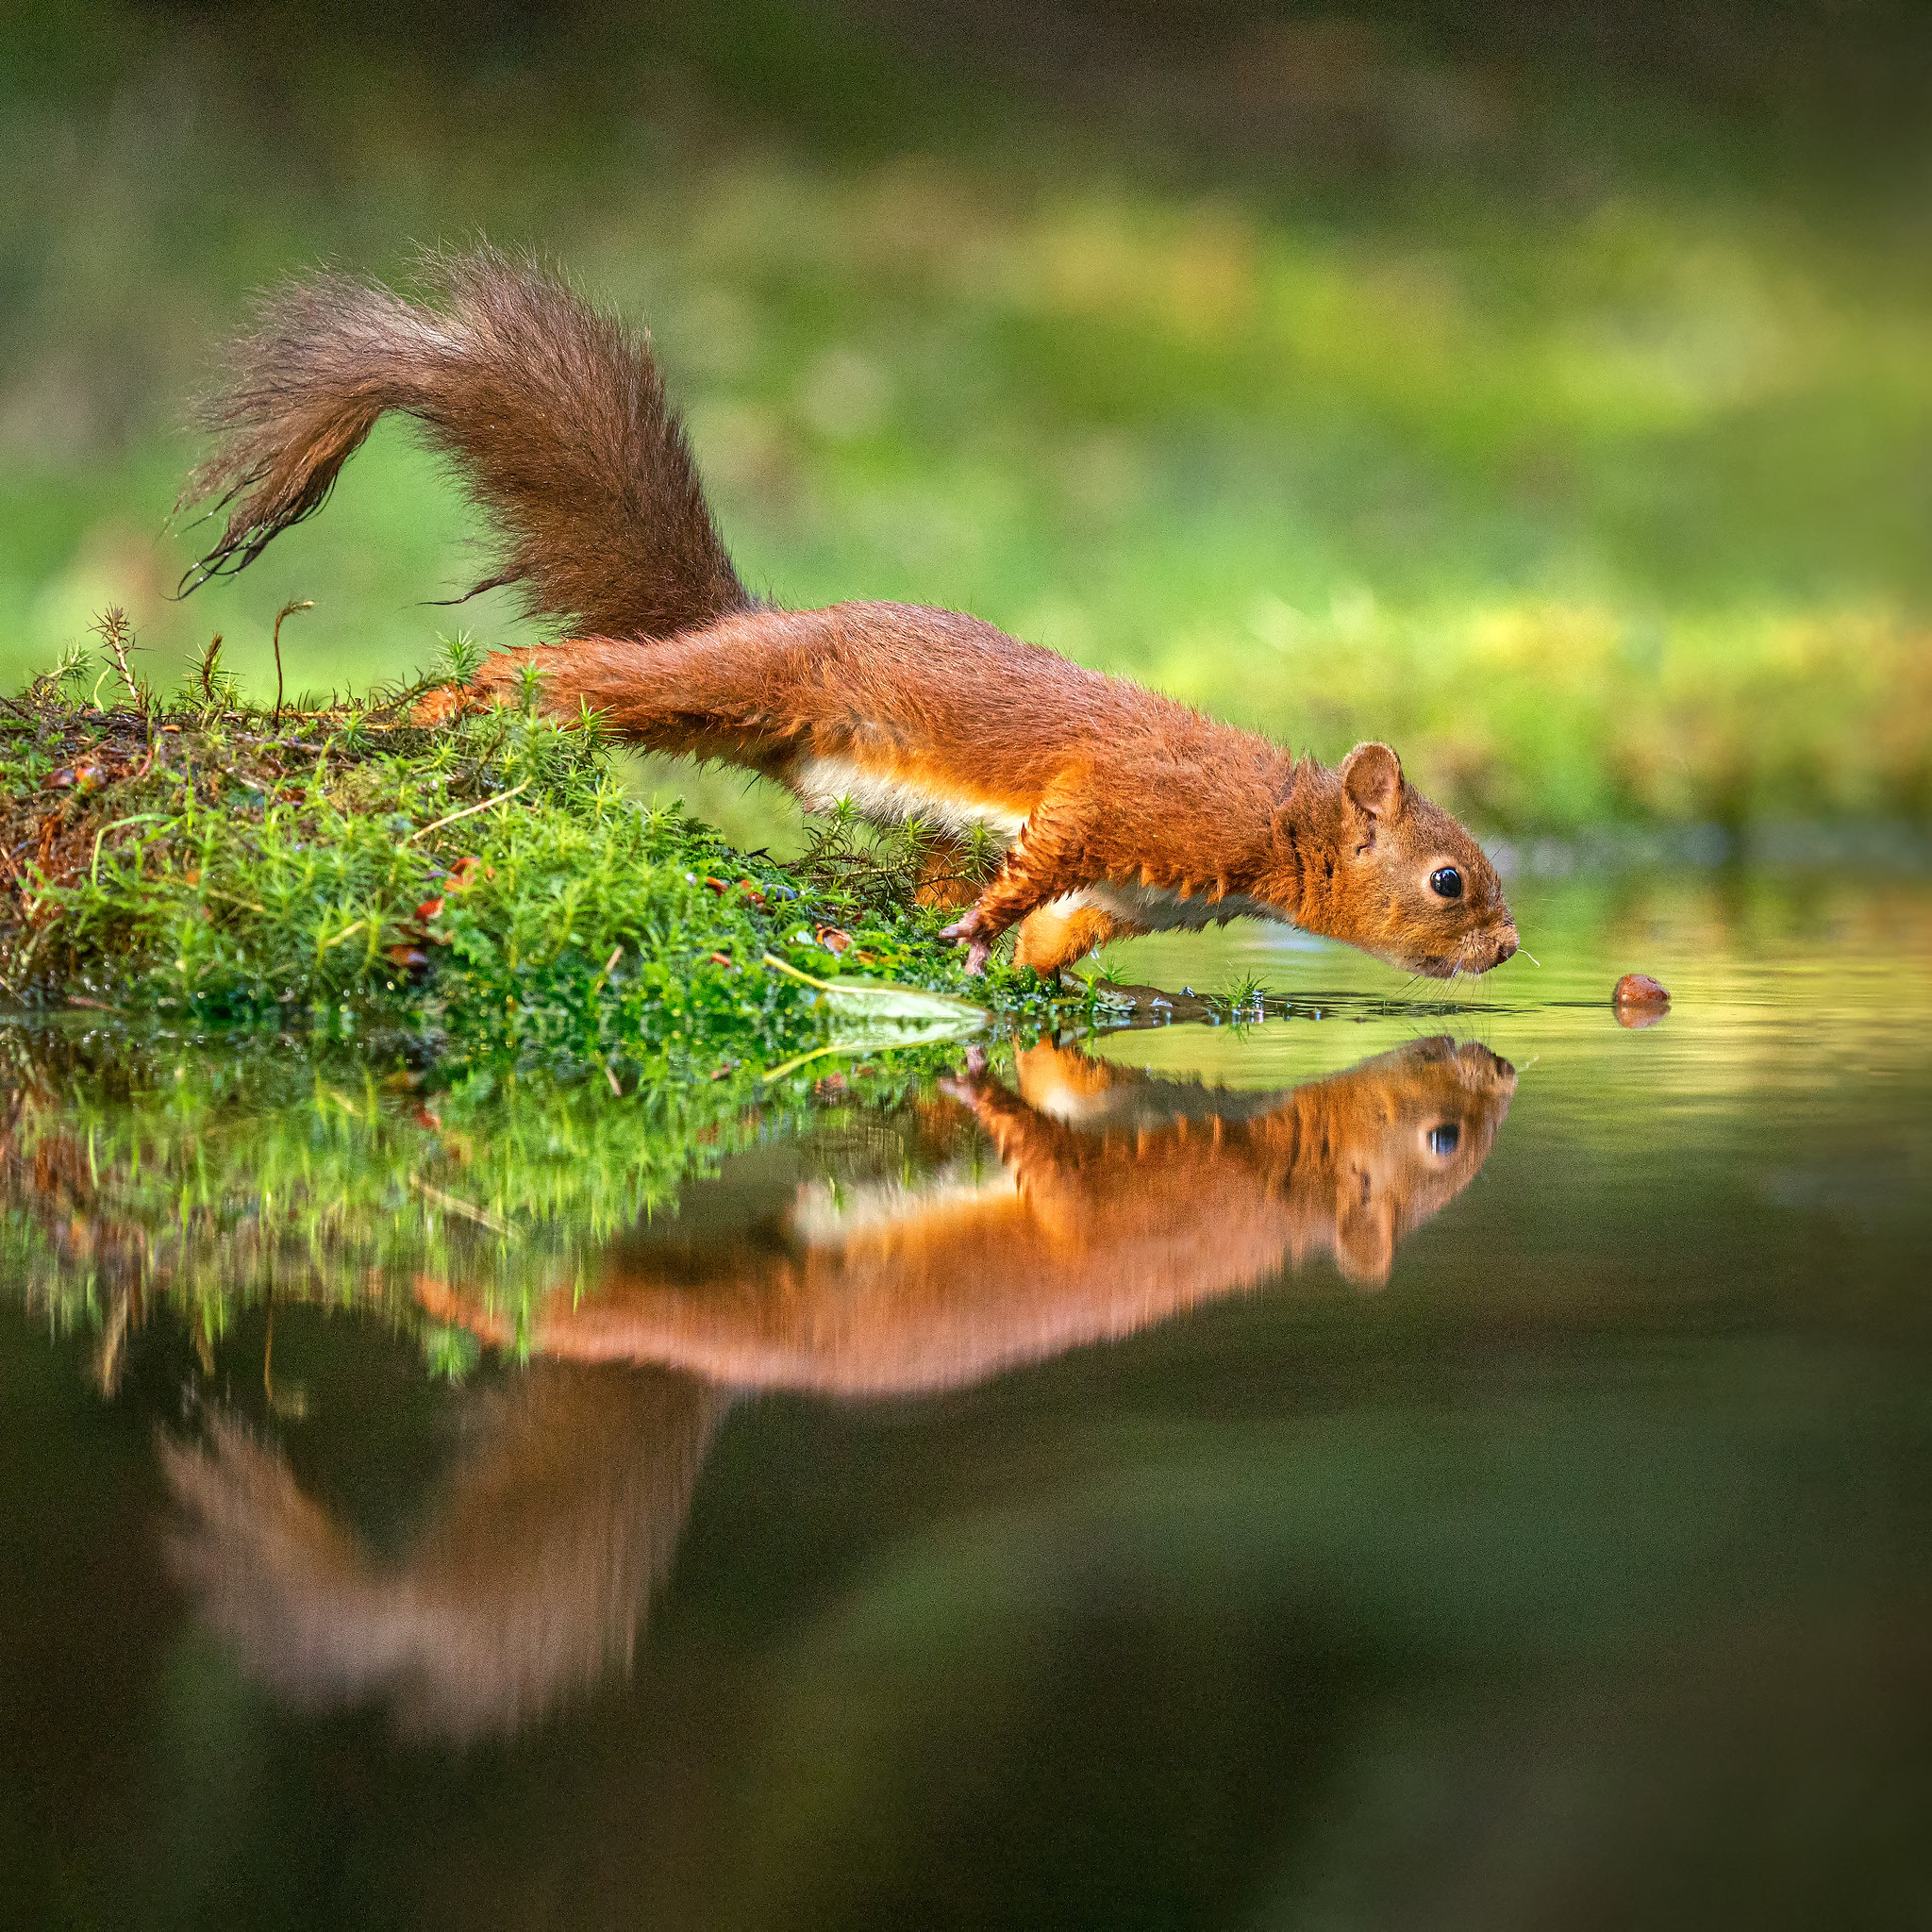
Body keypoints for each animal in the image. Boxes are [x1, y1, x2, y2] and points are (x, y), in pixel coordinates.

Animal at [181, 253, 1514, 981]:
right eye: (1449, 878)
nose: (1507, 951)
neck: (1269, 830)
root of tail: (759, 620)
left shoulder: (1133, 896)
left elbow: (1058, 933)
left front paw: (1010, 964)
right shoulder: (1136, 797)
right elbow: (1051, 842)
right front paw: (984, 917)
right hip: (746, 682)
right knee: (566, 676)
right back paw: (438, 704)